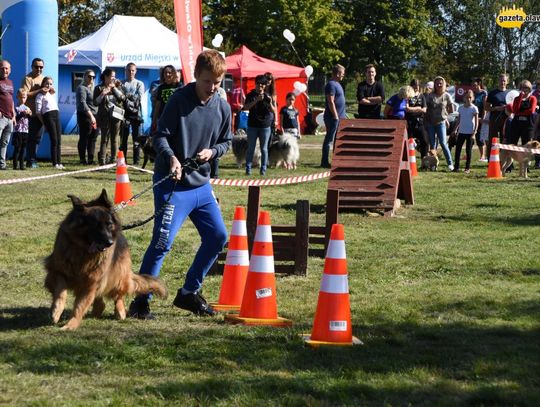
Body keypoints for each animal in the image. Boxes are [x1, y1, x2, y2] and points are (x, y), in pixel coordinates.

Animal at [44, 190, 167, 330]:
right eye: (95, 226)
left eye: (109, 224)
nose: (110, 243)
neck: (83, 250)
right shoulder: (58, 271)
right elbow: (60, 292)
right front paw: (56, 311)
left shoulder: (91, 281)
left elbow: (80, 306)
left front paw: (71, 324)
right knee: (100, 298)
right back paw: (98, 308)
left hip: (118, 275)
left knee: (118, 295)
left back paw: (119, 311)